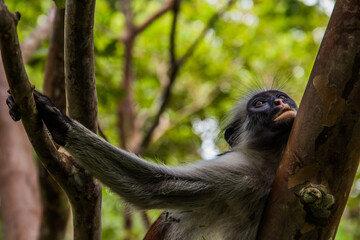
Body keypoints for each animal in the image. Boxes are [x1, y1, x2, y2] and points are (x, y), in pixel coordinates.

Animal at [6, 88, 298, 240]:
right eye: (259, 103)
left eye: (283, 97)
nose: (280, 102)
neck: (272, 159)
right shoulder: (242, 169)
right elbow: (152, 186)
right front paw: (57, 122)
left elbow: (152, 186)